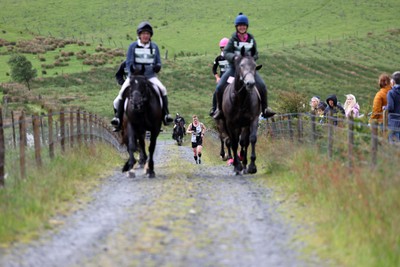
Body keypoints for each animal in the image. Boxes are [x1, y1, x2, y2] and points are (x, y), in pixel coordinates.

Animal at [220, 46, 260, 175]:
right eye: (241, 65)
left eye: (254, 66)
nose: (250, 83)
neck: (241, 98)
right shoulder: (230, 123)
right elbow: (232, 142)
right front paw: (237, 166)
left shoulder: (252, 120)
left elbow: (251, 139)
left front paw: (251, 166)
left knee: (243, 142)